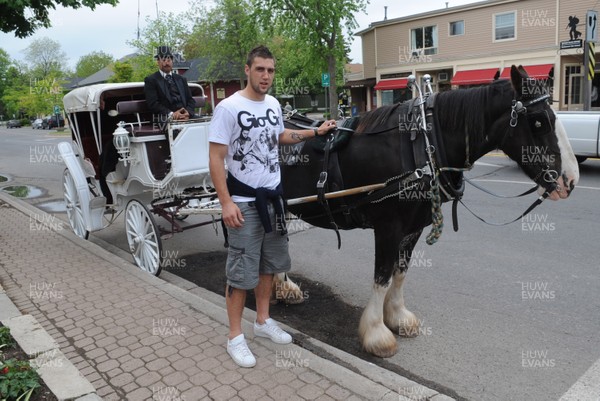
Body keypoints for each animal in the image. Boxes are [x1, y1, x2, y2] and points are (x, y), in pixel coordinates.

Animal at [278, 65, 580, 356]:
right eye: (539, 121)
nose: (570, 180)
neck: (422, 146)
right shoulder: (388, 227)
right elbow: (382, 277)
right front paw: (376, 334)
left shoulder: (413, 227)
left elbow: (400, 272)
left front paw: (398, 316)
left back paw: (285, 287)